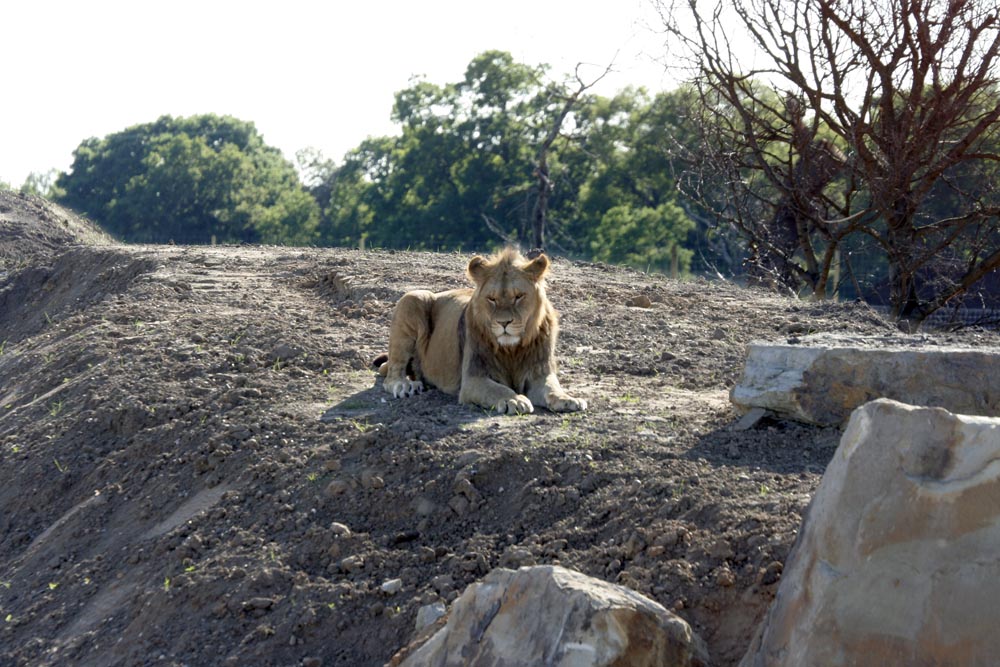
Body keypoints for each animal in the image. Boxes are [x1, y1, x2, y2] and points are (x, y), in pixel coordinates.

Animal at [375, 247, 587, 415]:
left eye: (519, 296)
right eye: (492, 299)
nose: (504, 323)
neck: (511, 350)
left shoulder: (539, 374)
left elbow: (551, 387)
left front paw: (567, 399)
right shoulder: (473, 379)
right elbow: (497, 390)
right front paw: (514, 400)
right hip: (414, 297)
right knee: (391, 375)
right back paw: (406, 385)